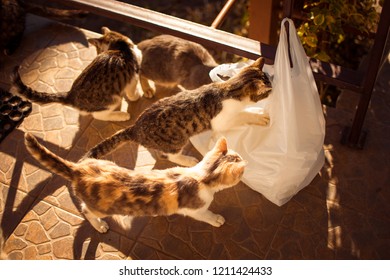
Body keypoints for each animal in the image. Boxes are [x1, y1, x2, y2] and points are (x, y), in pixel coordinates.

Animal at [11, 26, 143, 121]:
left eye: (98, 51)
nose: (97, 54)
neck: (120, 46)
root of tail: (70, 95)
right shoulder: (133, 76)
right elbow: (132, 91)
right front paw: (137, 96)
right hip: (112, 99)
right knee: (99, 115)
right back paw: (122, 115)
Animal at [24, 132, 247, 233]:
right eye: (239, 161)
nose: (244, 159)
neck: (201, 176)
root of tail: (79, 169)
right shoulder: (197, 209)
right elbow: (206, 215)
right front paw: (217, 219)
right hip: (102, 207)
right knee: (86, 211)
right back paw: (99, 226)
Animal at [82, 57, 272, 166]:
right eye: (268, 88)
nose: (273, 86)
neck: (229, 88)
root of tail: (135, 127)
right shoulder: (222, 120)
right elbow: (241, 116)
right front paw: (259, 116)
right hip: (176, 140)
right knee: (169, 156)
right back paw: (188, 161)